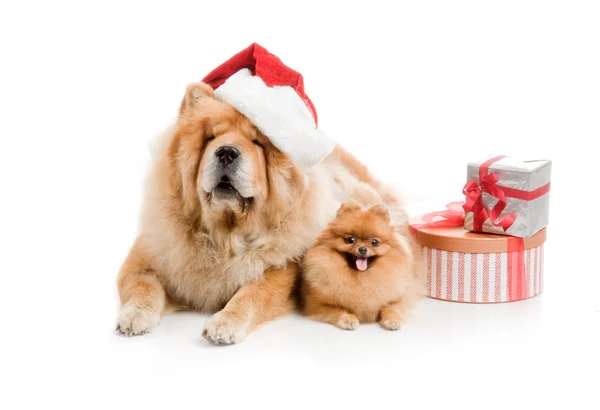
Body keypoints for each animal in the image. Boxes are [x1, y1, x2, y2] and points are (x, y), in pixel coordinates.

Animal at [300, 200, 422, 332]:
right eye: (350, 240)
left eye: (374, 242)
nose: (362, 249)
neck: (361, 278)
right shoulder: (316, 305)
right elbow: (338, 310)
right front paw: (349, 320)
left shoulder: (398, 298)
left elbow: (392, 308)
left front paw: (393, 321)